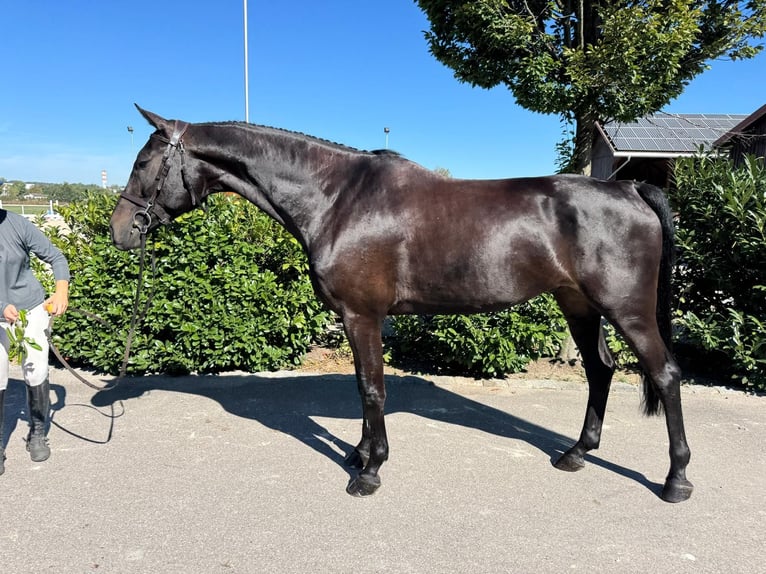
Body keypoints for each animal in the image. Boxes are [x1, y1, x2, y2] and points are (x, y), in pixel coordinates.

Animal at [110, 106, 693, 503]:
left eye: (144, 162)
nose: (120, 232)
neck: (337, 198)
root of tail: (631, 189)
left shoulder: (362, 316)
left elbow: (372, 389)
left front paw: (369, 471)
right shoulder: (356, 320)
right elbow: (362, 388)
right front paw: (360, 453)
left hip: (626, 309)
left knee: (664, 373)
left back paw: (676, 479)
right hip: (578, 304)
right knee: (600, 369)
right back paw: (574, 455)